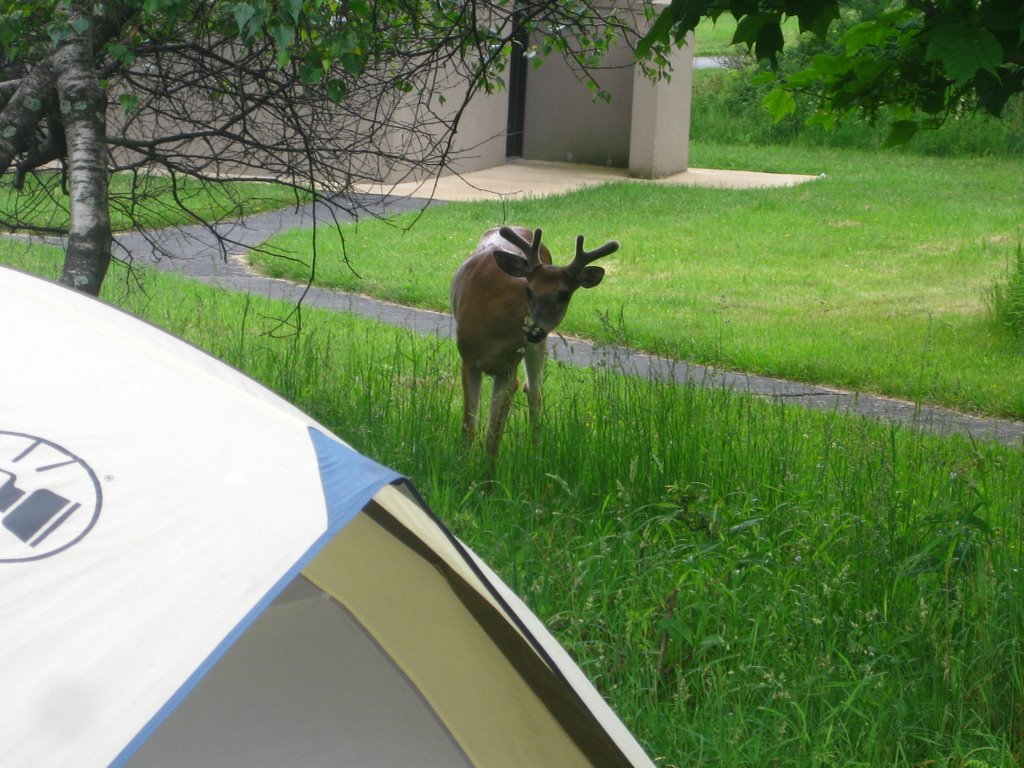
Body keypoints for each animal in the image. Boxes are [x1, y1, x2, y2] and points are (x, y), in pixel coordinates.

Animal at [452, 225, 618, 468]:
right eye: (529, 290)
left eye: (564, 294)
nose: (533, 330)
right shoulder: (468, 359)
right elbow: (469, 428)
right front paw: (461, 468)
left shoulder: (508, 369)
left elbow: (493, 438)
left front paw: (487, 476)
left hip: (537, 347)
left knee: (533, 390)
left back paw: (537, 453)